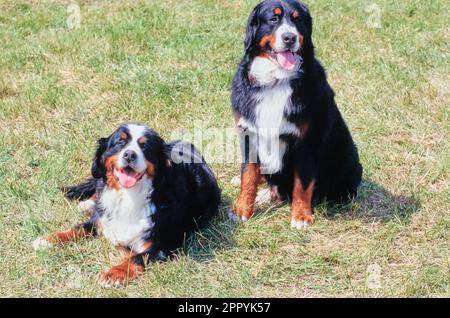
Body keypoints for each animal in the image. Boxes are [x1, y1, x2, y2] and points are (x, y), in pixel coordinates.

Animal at [32, 123, 221, 288]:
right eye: (120, 142)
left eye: (145, 147)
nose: (129, 154)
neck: (128, 196)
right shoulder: (101, 220)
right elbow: (78, 228)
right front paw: (48, 239)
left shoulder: (164, 244)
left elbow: (136, 258)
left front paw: (114, 274)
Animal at [230, 0, 364, 229]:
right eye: (273, 19)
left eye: (297, 19)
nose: (289, 37)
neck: (275, 81)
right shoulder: (249, 132)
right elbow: (248, 174)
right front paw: (241, 209)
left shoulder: (307, 140)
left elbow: (302, 183)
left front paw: (301, 216)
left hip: (349, 159)